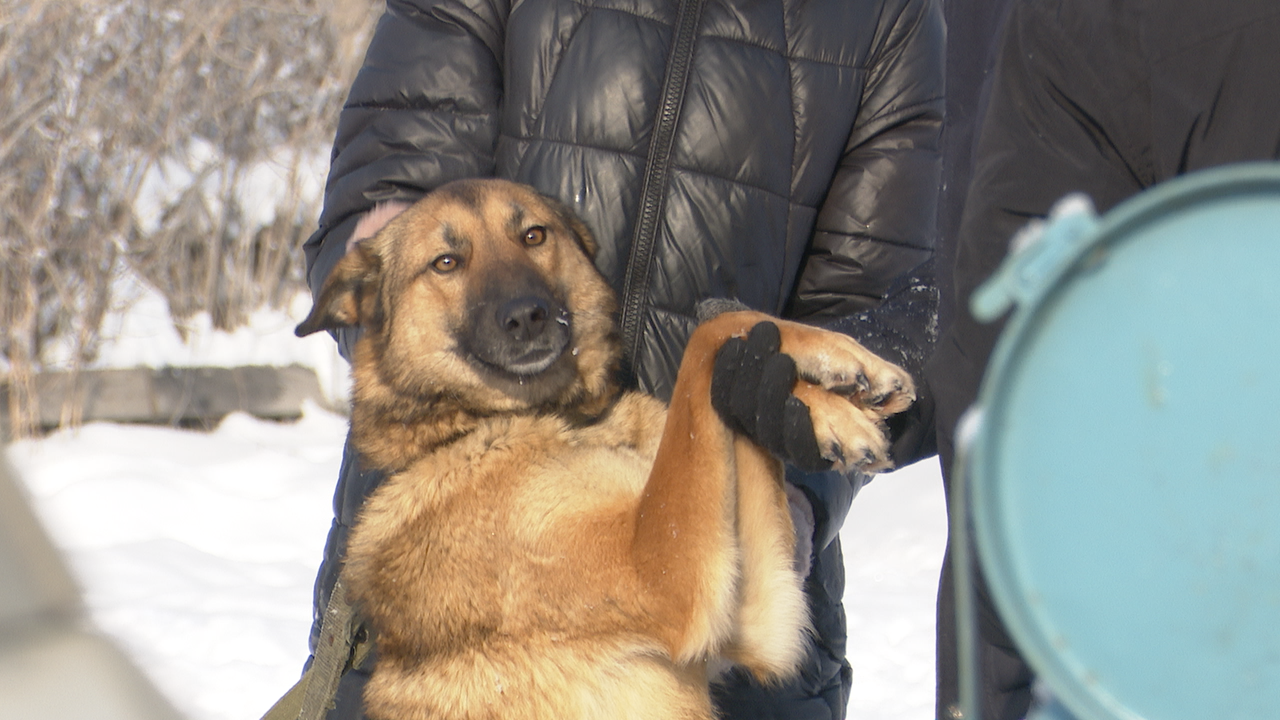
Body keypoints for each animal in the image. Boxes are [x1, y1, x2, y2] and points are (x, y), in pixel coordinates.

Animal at [294, 179, 916, 717]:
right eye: (446, 262)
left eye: (534, 236)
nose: (527, 316)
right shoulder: (664, 576)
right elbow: (706, 339)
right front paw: (835, 389)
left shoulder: (758, 614)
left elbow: (735, 341)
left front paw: (835, 391)